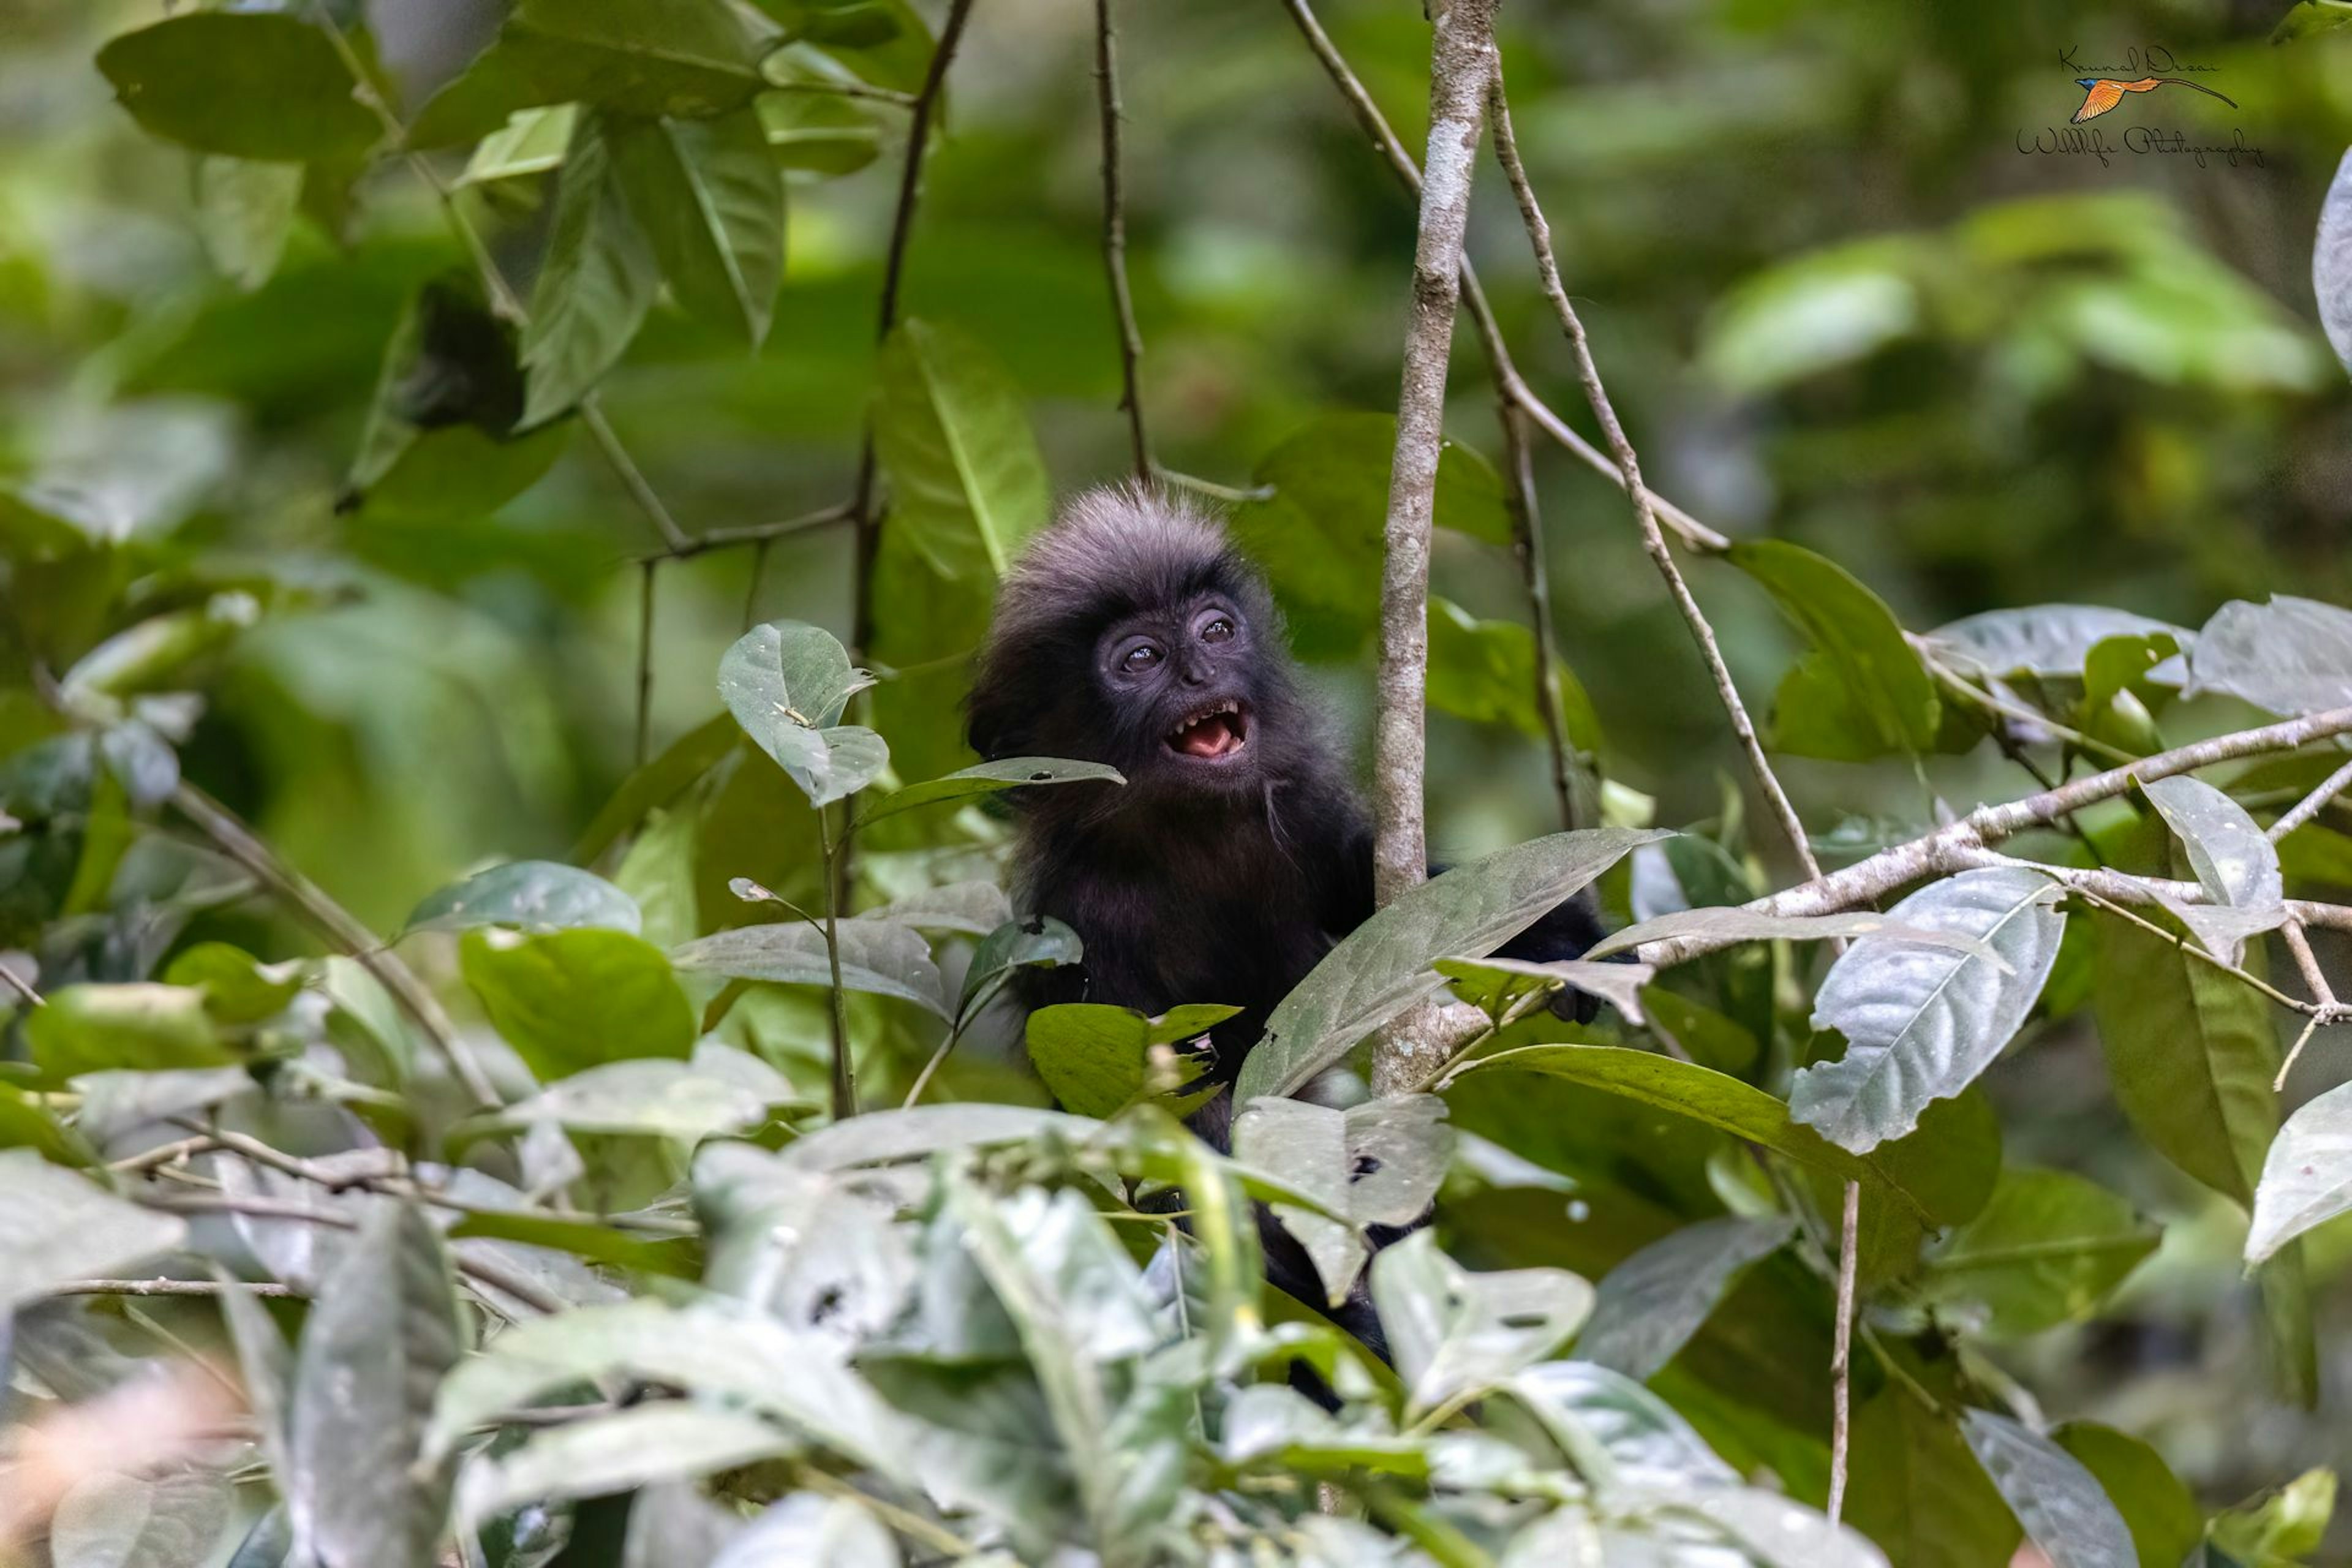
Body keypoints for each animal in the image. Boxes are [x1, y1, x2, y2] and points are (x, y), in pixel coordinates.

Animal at [959, 486, 1599, 1354]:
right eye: (1140, 659)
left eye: (1215, 631)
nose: (1200, 671)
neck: (1189, 835)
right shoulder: (1082, 922)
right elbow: (1164, 1118)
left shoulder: (1298, 819)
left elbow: (1386, 901)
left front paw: (1565, 945)